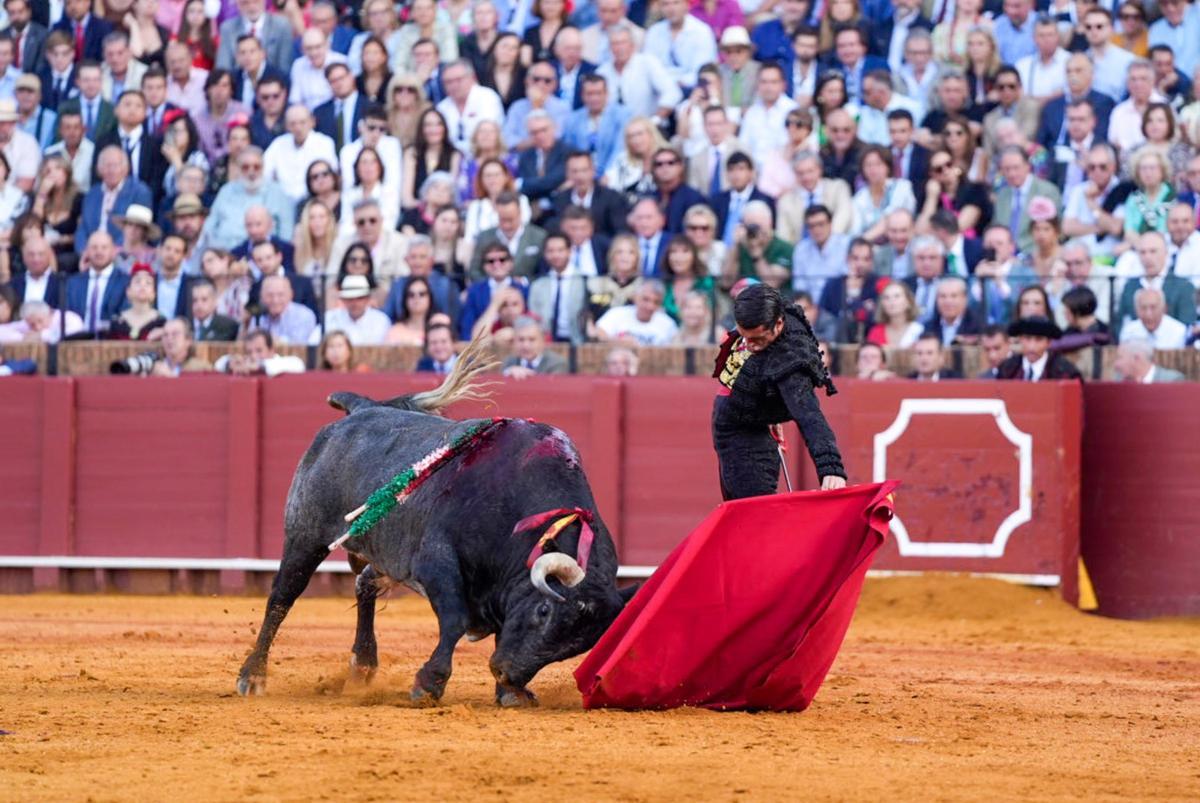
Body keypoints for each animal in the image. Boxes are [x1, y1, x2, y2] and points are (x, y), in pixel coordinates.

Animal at [229, 391, 633, 705]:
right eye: (544, 611)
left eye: (576, 647)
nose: (506, 673)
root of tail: (361, 409)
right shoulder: (435, 563)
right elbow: (454, 620)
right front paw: (429, 683)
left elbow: (498, 627)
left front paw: (510, 694)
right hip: (305, 534)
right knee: (282, 597)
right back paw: (253, 676)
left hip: (383, 552)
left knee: (363, 584)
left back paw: (363, 665)